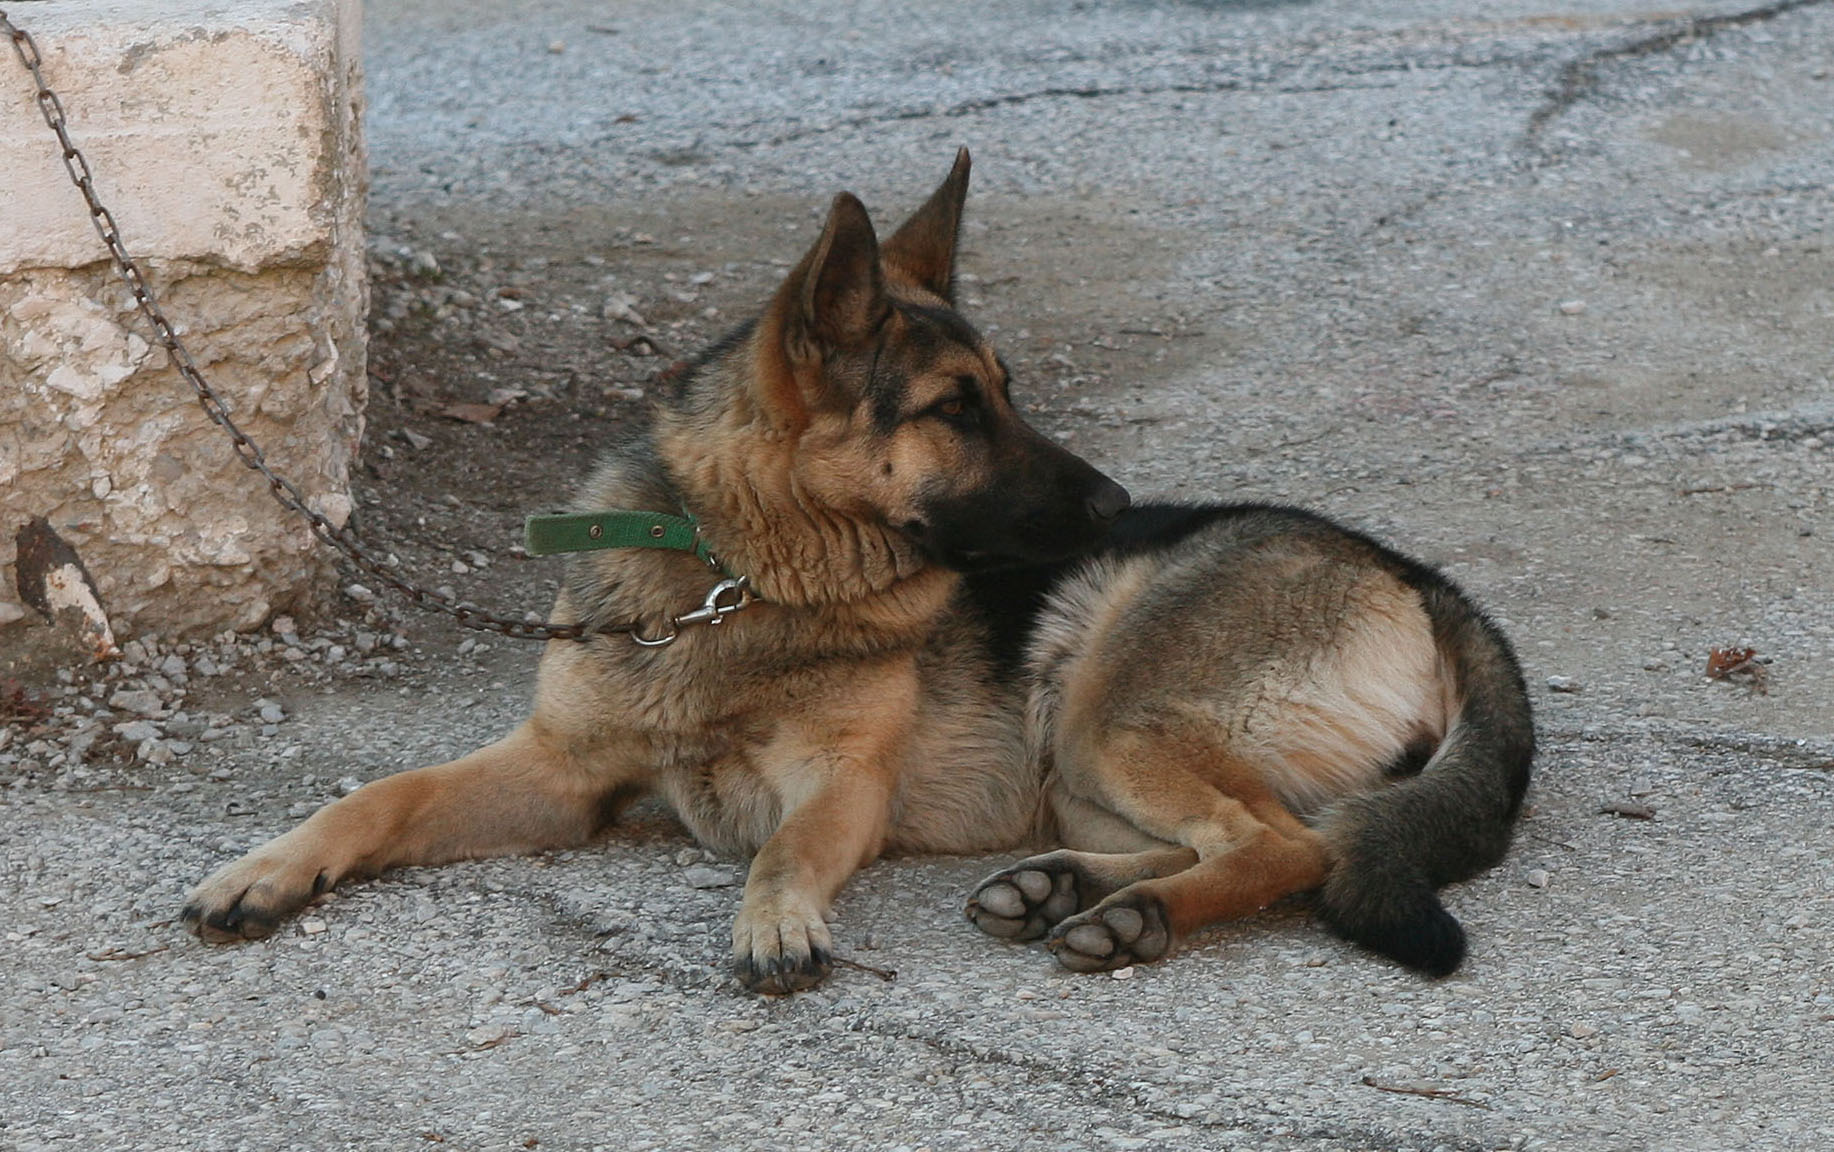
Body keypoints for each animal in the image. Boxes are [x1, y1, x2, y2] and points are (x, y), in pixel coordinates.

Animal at [186, 150, 1533, 990]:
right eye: (955, 408)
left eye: (1008, 394)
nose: (1116, 509)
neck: (734, 581)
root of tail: (1417, 576)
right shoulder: (558, 773)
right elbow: (379, 794)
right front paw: (269, 866)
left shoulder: (837, 784)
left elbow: (783, 848)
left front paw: (776, 919)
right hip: (1082, 758)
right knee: (1249, 839)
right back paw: (1065, 890)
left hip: (1104, 704)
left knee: (1290, 849)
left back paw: (1130, 918)